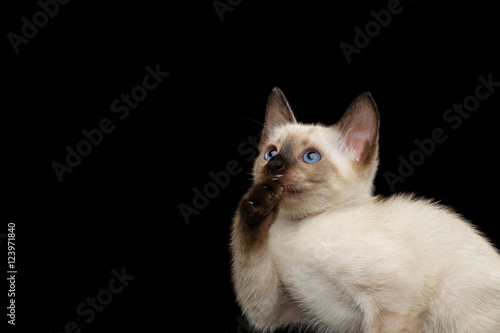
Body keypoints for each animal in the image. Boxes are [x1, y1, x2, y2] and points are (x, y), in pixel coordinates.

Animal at [229, 88, 500, 332]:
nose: (275, 166)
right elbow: (246, 246)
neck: (296, 228)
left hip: (452, 298)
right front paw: (257, 202)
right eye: (271, 153)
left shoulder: (393, 296)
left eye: (310, 157)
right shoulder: (273, 308)